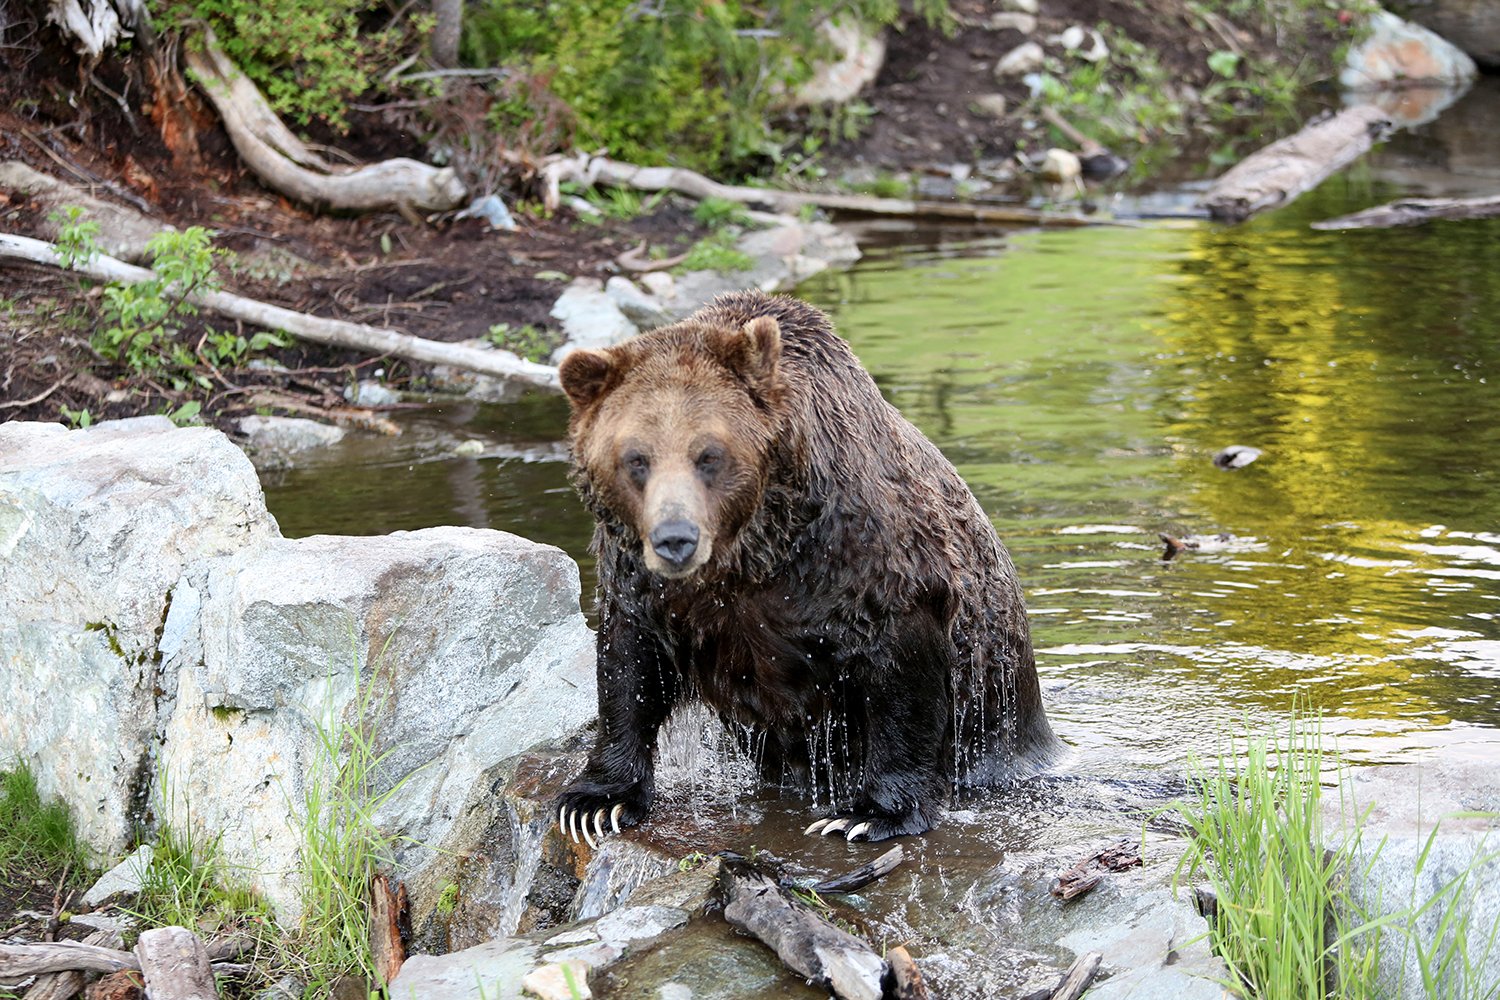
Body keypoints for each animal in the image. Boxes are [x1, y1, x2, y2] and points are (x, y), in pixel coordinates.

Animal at [554, 290, 1057, 844]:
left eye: (709, 454)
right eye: (636, 458)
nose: (675, 539)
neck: (752, 554)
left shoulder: (861, 563)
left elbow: (902, 678)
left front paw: (867, 814)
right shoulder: (645, 583)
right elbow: (630, 668)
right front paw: (596, 801)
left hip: (998, 719)